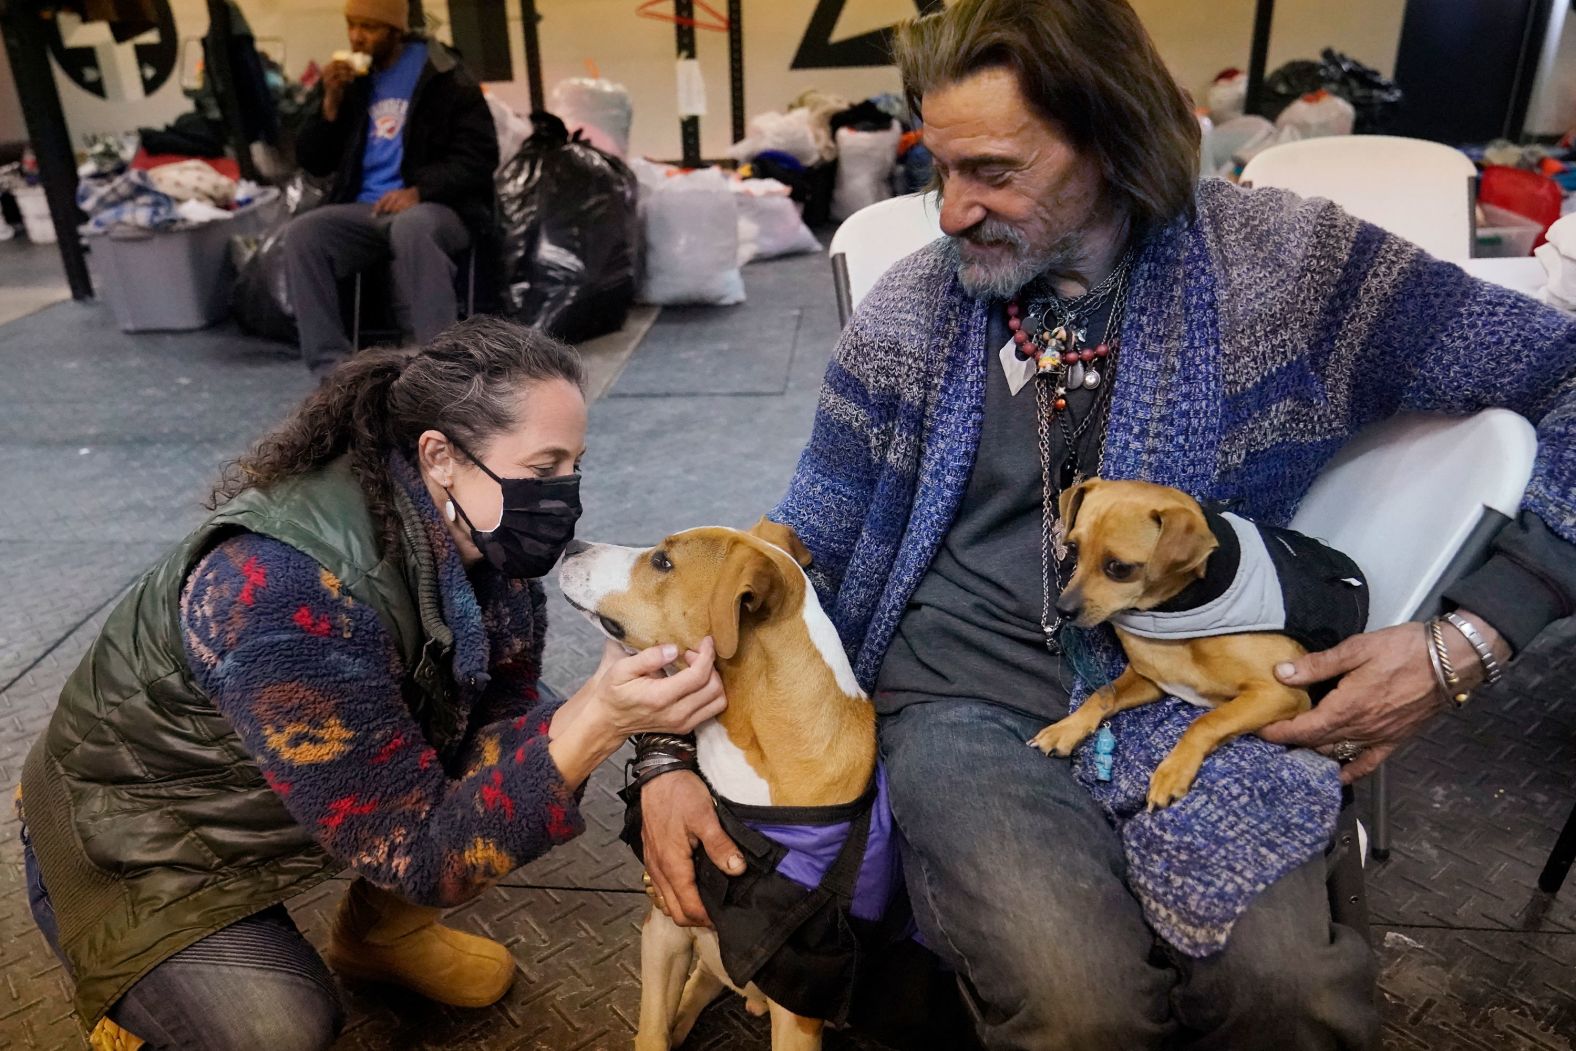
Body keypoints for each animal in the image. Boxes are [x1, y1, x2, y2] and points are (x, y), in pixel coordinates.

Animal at [1033, 482, 1367, 813]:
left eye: (1119, 567)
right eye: (1073, 548)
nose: (1062, 610)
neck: (1179, 613)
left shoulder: (1281, 692)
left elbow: (1206, 721)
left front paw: (1173, 770)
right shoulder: (1152, 680)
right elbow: (1103, 694)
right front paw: (1067, 728)